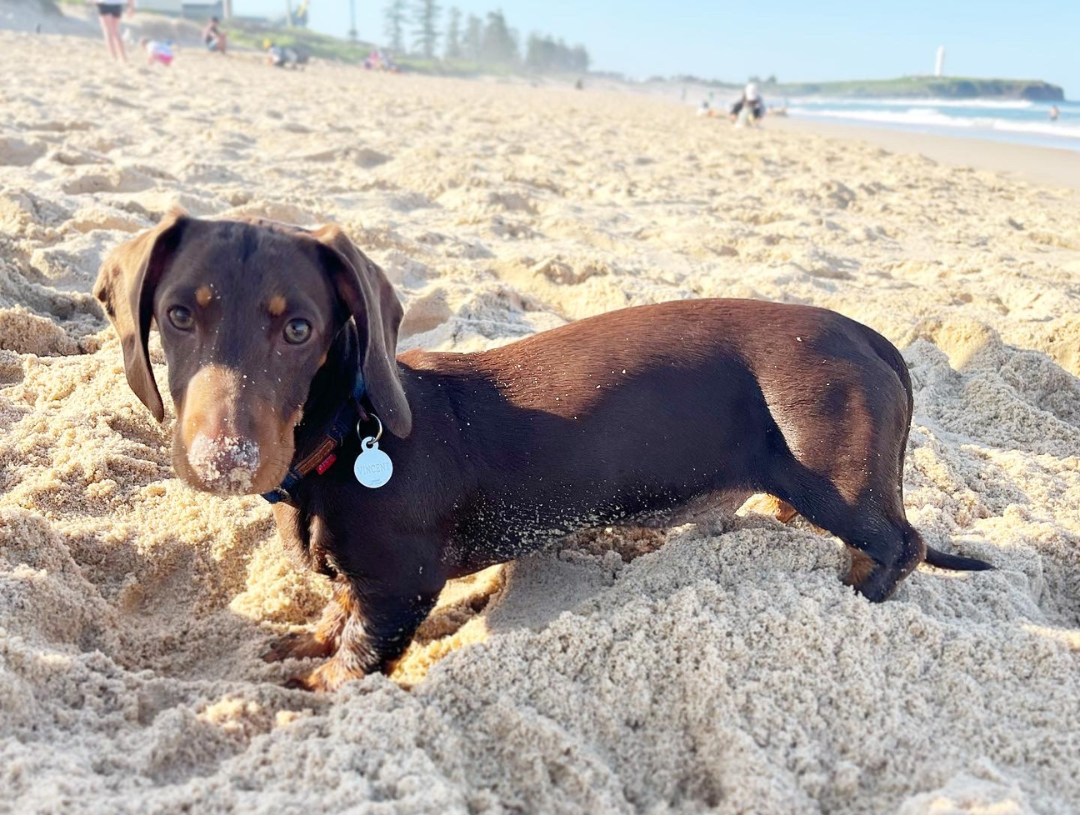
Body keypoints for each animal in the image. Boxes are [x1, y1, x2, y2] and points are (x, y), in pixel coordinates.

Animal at [97, 213, 989, 690]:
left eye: (299, 328)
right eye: (179, 315)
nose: (226, 458)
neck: (349, 439)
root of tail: (867, 334)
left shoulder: (401, 583)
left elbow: (360, 648)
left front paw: (317, 684)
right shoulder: (362, 579)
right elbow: (336, 612)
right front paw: (306, 638)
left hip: (837, 477)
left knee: (898, 543)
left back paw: (856, 595)